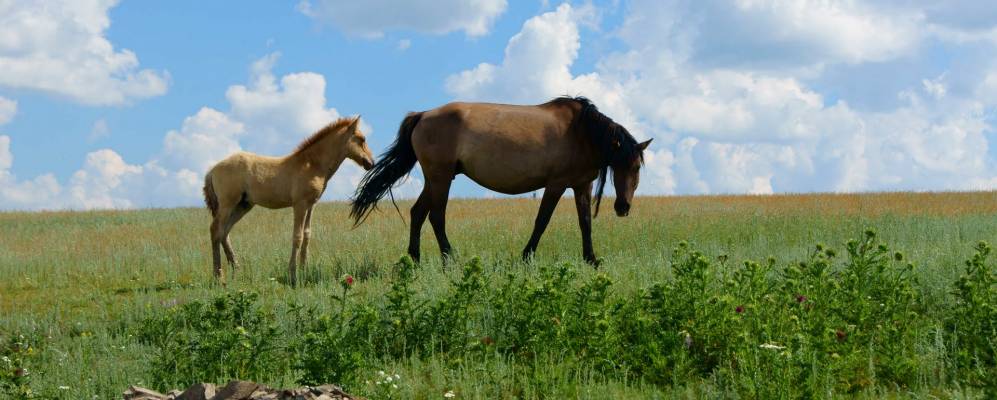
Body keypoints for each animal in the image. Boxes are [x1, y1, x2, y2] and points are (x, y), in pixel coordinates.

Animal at [204, 115, 376, 284]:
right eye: (362, 139)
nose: (371, 163)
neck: (312, 164)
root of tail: (213, 169)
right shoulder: (299, 204)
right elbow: (297, 237)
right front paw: (293, 275)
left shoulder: (311, 205)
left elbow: (307, 235)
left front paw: (305, 270)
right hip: (228, 203)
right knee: (216, 230)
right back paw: (218, 276)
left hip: (243, 205)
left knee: (225, 232)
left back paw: (236, 270)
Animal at [352, 97, 652, 266]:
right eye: (622, 165)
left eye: (637, 168)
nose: (623, 207)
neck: (581, 132)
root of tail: (423, 115)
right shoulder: (555, 184)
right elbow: (542, 221)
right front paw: (526, 257)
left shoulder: (582, 185)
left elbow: (585, 223)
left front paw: (591, 260)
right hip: (440, 178)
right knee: (437, 216)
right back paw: (450, 259)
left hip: (436, 178)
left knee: (418, 213)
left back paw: (414, 260)